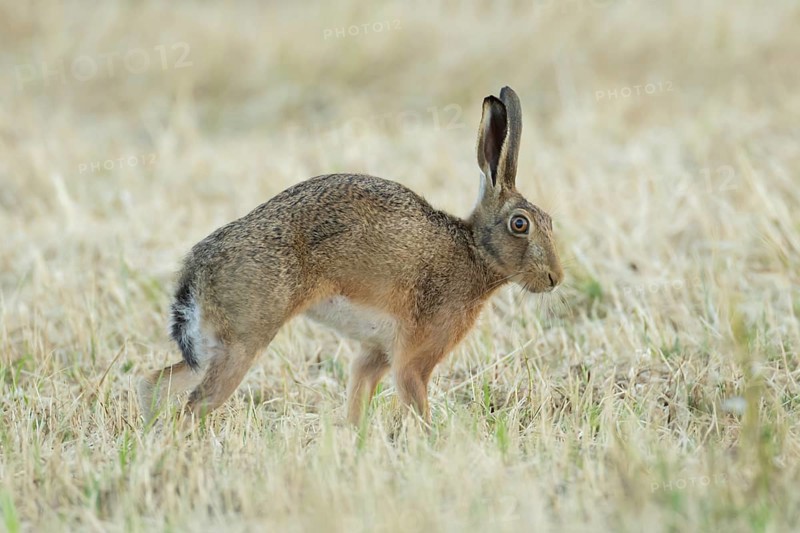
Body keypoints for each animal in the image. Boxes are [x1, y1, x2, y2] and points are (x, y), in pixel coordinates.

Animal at [138, 86, 564, 426]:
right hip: (243, 340)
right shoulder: (414, 358)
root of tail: (198, 269)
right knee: (195, 404)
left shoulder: (375, 354)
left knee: (156, 384)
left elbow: (358, 399)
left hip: (211, 345)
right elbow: (415, 402)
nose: (554, 278)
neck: (475, 250)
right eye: (521, 224)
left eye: (549, 219)